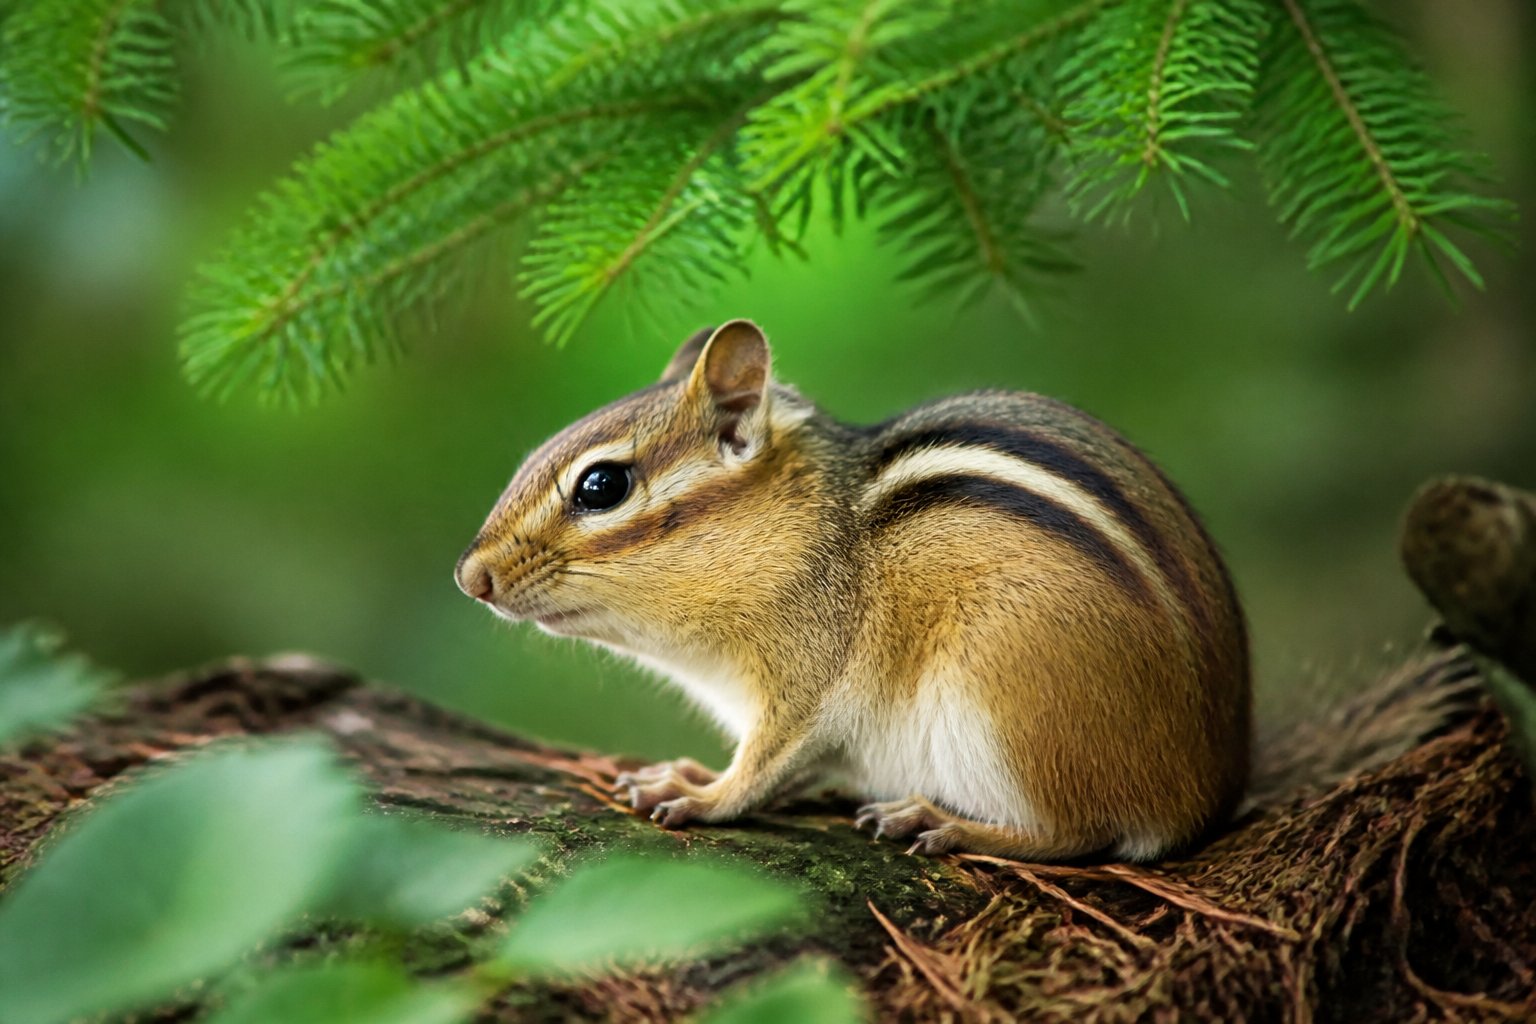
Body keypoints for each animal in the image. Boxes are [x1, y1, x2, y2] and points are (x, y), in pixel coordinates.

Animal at [456, 320, 1251, 860]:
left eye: (602, 486)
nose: (471, 577)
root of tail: (1204, 794)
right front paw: (688, 770)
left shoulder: (808, 676)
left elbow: (765, 763)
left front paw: (700, 794)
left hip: (1008, 700)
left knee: (1081, 832)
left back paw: (940, 820)